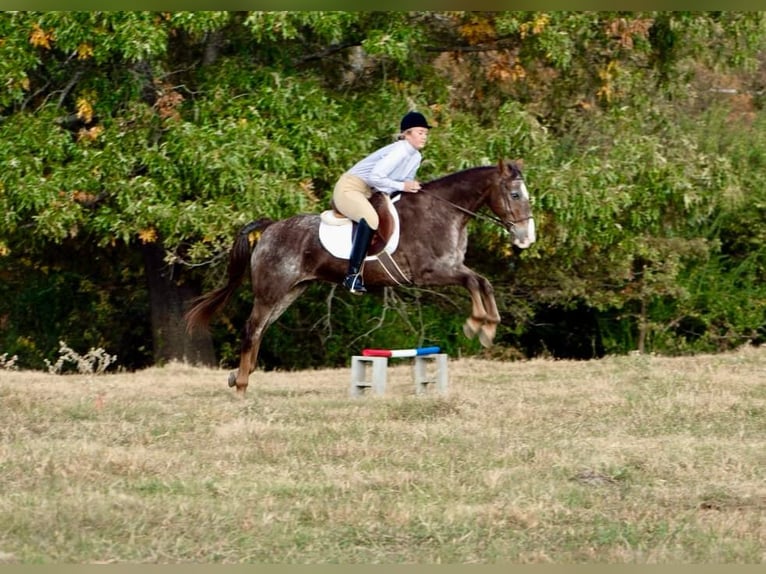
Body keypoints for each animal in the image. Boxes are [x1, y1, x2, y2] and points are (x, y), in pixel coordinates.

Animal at [185, 159, 536, 394]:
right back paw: (242, 384)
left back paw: (238, 376)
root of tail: (270, 228)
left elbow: (482, 282)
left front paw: (488, 326)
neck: (444, 211)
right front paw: (478, 325)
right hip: (272, 291)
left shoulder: (449, 269)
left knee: (260, 330)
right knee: (252, 329)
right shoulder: (433, 272)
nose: (526, 237)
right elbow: (475, 281)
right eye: (515, 195)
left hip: (290, 292)